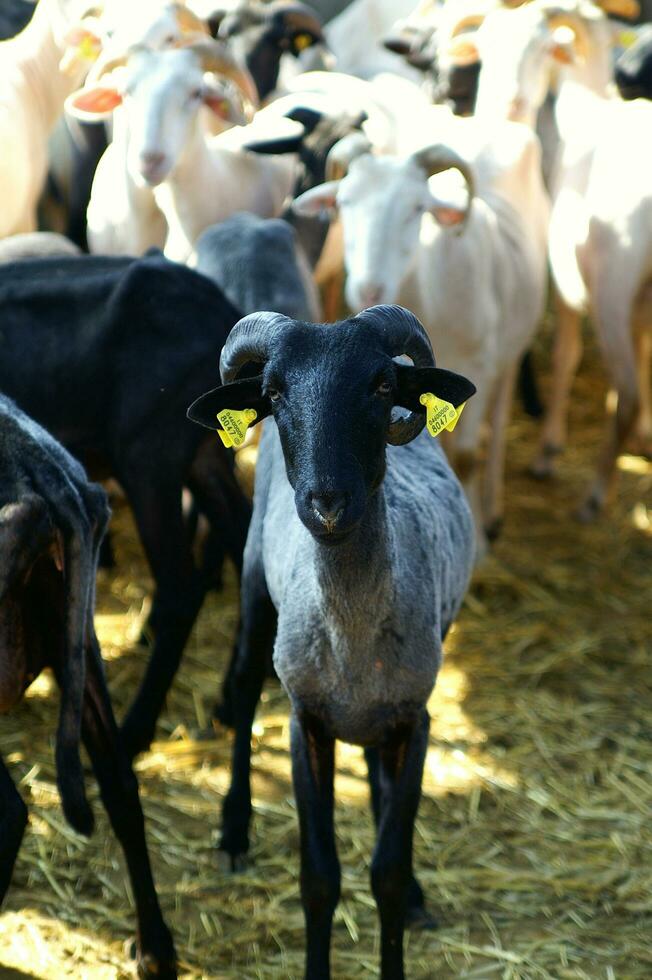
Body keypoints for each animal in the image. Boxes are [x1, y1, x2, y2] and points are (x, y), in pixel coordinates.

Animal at [294, 117, 552, 552]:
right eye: (343, 204)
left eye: (417, 208)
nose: (369, 289)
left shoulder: (478, 368)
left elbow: (466, 456)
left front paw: (477, 545)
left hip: (512, 347)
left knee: (500, 415)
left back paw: (493, 507)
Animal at [474, 0, 652, 520]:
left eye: (542, 50)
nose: (509, 104)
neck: (588, 105)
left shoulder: (568, 284)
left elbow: (565, 354)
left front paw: (549, 448)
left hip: (614, 287)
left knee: (627, 392)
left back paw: (595, 496)